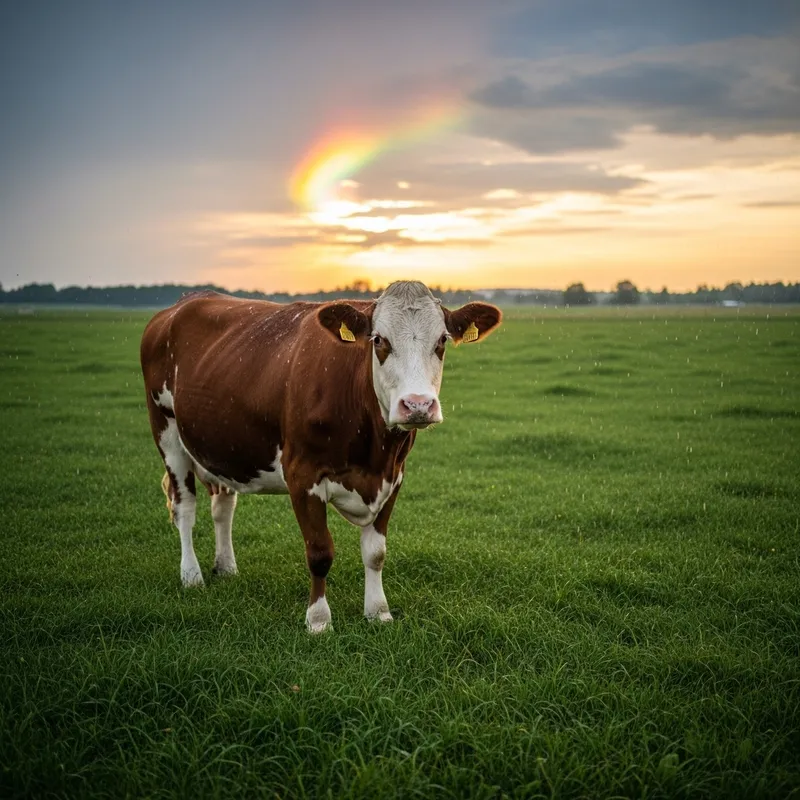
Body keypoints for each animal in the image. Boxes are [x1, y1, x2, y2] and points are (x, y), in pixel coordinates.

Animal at [140, 280, 501, 632]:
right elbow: (319, 552)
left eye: (441, 340)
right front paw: (318, 620)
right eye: (379, 340)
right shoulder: (302, 475)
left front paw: (378, 612)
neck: (374, 453)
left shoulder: (394, 477)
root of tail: (185, 302)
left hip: (224, 445)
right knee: (184, 507)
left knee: (223, 505)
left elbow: (376, 553)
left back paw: (226, 566)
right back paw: (192, 575)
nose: (417, 405)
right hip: (167, 432)